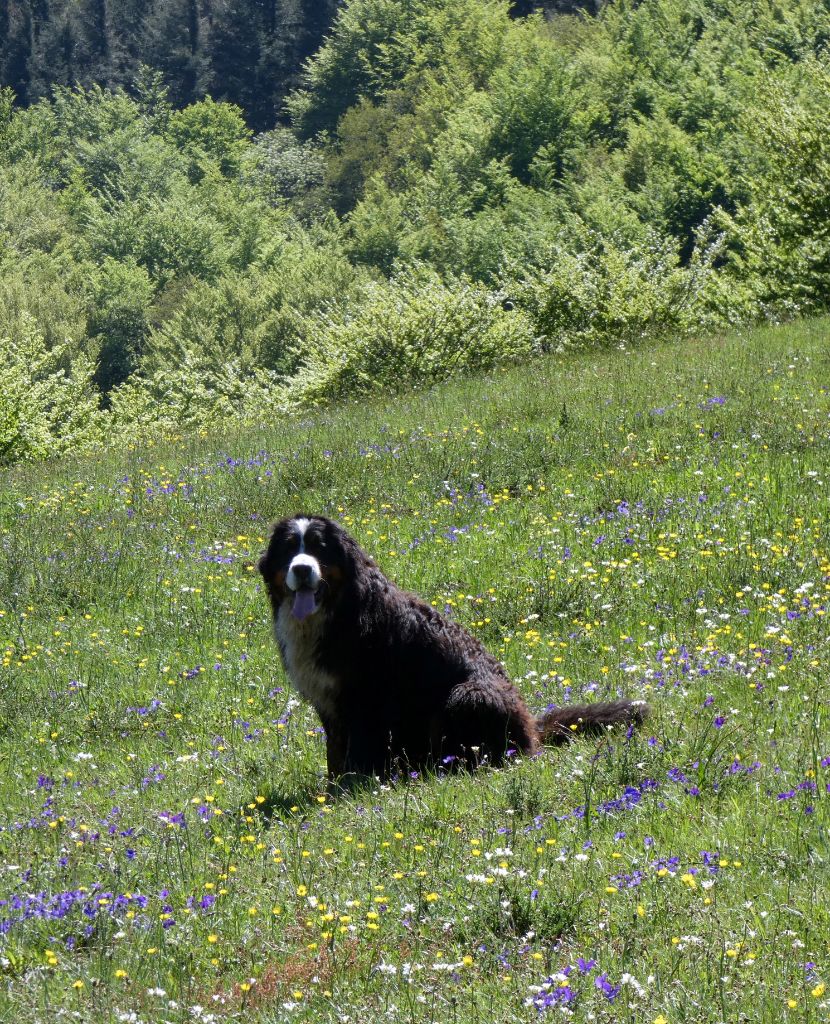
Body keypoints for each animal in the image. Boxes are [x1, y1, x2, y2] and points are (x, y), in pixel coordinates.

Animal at [259, 512, 650, 774]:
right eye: (289, 550)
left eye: (320, 549)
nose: (302, 569)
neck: (335, 611)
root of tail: (531, 728)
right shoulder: (328, 700)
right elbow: (336, 754)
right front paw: (333, 789)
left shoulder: (364, 698)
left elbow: (359, 751)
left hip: (467, 696)